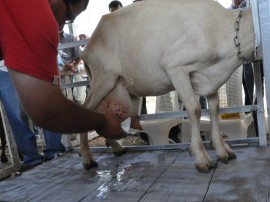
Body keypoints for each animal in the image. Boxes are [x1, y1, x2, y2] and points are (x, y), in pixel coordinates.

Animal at [79, 0, 255, 172]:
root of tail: (88, 46)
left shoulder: (208, 78)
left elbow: (214, 109)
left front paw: (221, 150)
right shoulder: (175, 66)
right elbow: (195, 110)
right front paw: (201, 158)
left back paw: (115, 147)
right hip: (104, 77)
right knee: (87, 108)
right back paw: (88, 159)